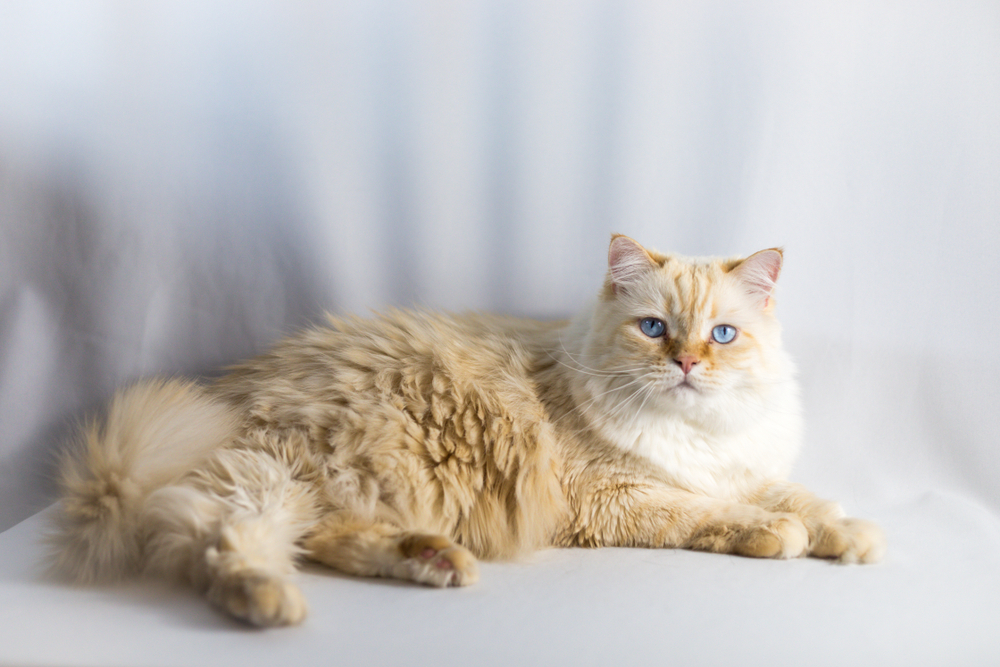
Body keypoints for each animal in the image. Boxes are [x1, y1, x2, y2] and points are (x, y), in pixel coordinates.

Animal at [50, 235, 888, 628]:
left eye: (721, 335)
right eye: (653, 328)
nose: (685, 362)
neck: (699, 433)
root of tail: (230, 392)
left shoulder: (744, 468)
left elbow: (804, 499)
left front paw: (852, 536)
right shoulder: (619, 495)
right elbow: (718, 513)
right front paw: (777, 535)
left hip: (337, 488)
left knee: (321, 537)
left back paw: (432, 560)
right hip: (283, 475)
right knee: (219, 541)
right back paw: (272, 599)